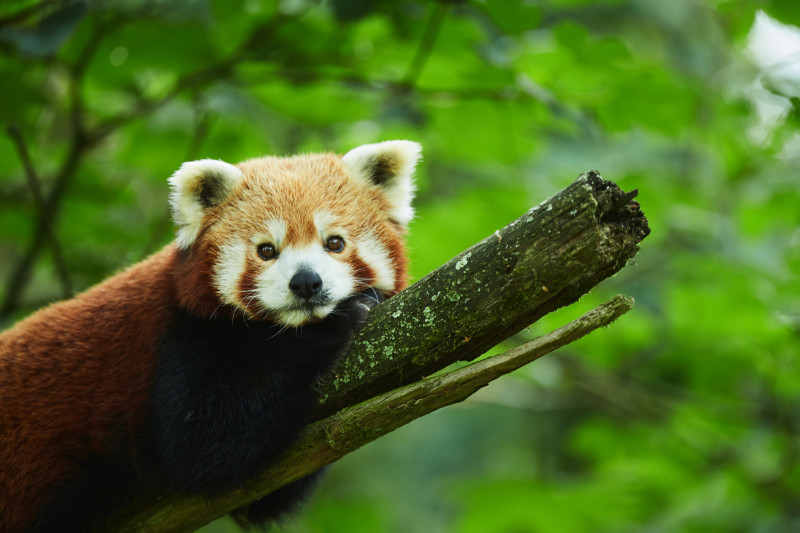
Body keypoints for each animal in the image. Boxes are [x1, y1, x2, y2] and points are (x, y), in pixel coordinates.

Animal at [0, 140, 421, 532]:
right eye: (266, 250)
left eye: (334, 242)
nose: (306, 282)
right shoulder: (178, 337)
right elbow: (206, 443)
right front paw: (339, 320)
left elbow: (265, 493)